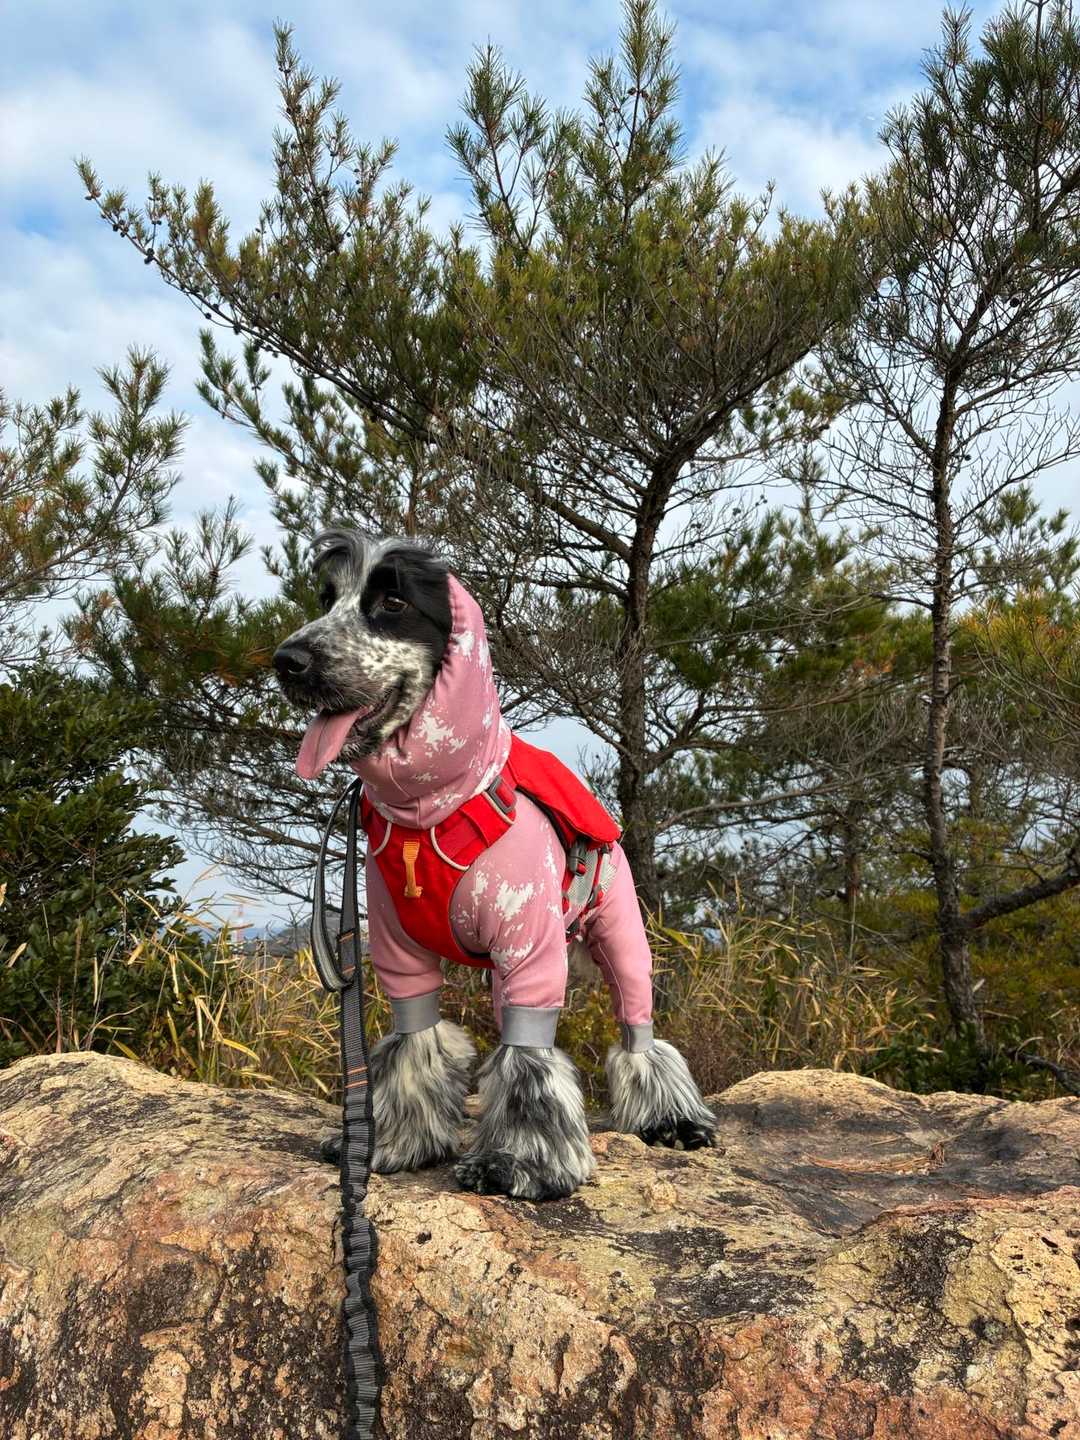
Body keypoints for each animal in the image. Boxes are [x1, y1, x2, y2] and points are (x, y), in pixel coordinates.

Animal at [273, 528, 717, 1201]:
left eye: (393, 604)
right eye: (327, 599)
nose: (287, 660)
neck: (432, 807)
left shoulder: (529, 946)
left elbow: (530, 1060)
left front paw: (518, 1161)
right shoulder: (400, 951)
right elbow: (414, 1041)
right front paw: (392, 1142)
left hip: (620, 934)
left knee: (638, 1032)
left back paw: (673, 1120)